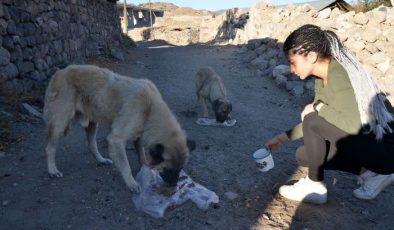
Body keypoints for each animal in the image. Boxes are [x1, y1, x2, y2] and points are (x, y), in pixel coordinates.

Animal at [43, 64, 191, 192]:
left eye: (180, 169)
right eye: (168, 169)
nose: (174, 184)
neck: (150, 109)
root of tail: (58, 73)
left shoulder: (139, 134)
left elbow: (141, 153)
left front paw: (145, 166)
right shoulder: (117, 139)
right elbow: (126, 166)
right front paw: (131, 183)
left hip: (92, 123)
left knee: (91, 144)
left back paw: (101, 160)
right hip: (60, 123)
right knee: (50, 148)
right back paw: (52, 170)